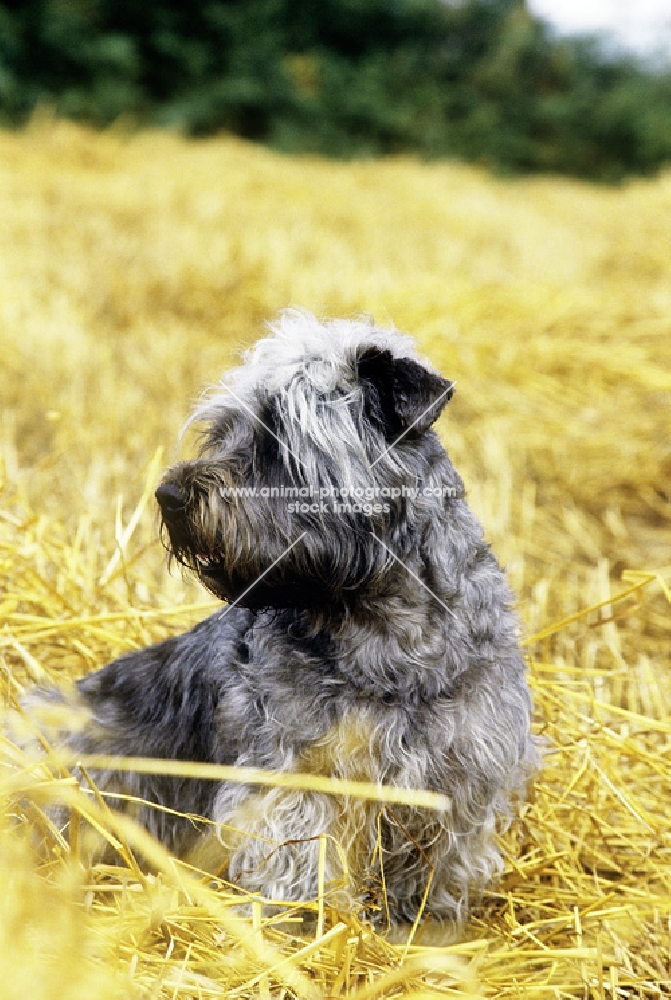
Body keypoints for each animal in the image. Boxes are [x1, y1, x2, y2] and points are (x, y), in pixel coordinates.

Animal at [32, 312, 540, 928]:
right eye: (222, 430)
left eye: (277, 435)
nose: (169, 494)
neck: (386, 638)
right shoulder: (294, 779)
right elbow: (299, 861)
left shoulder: (461, 775)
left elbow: (436, 870)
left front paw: (427, 927)